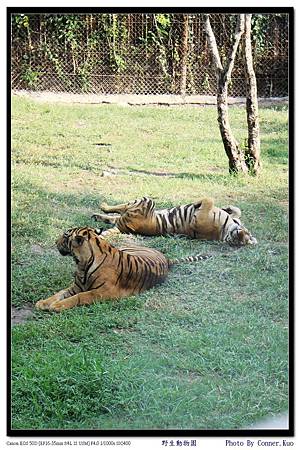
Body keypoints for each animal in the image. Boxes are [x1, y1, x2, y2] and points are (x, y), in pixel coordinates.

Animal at [35, 227, 212, 312]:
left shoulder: (104, 292)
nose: (54, 241)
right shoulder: (76, 286)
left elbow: (80, 297)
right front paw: (43, 302)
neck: (82, 264)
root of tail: (166, 259)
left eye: (65, 236)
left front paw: (57, 306)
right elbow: (59, 293)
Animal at [90, 196, 256, 246]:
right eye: (246, 236)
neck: (225, 231)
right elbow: (236, 211)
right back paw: (98, 213)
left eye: (240, 240)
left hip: (144, 201)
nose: (239, 234)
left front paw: (197, 203)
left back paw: (102, 208)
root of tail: (123, 227)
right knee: (114, 214)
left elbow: (208, 199)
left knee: (118, 211)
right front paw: (228, 208)